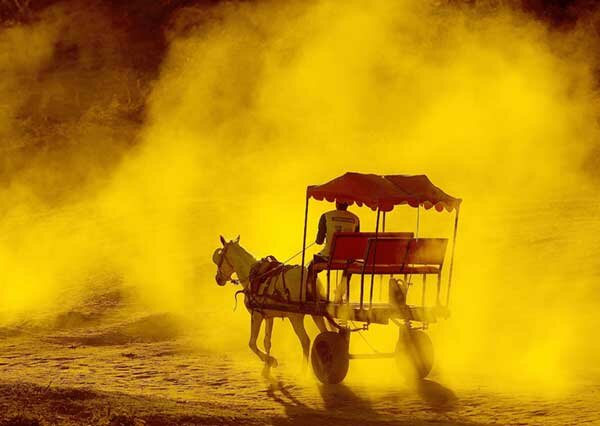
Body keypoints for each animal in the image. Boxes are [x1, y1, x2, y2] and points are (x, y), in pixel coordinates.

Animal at [212, 236, 328, 372]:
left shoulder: (256, 315)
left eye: (220, 257)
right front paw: (267, 366)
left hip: (295, 317)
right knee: (324, 333)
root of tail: (308, 275)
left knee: (305, 340)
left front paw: (271, 361)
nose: (218, 279)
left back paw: (303, 370)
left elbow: (252, 343)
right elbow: (267, 341)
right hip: (317, 313)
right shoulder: (268, 316)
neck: (255, 276)